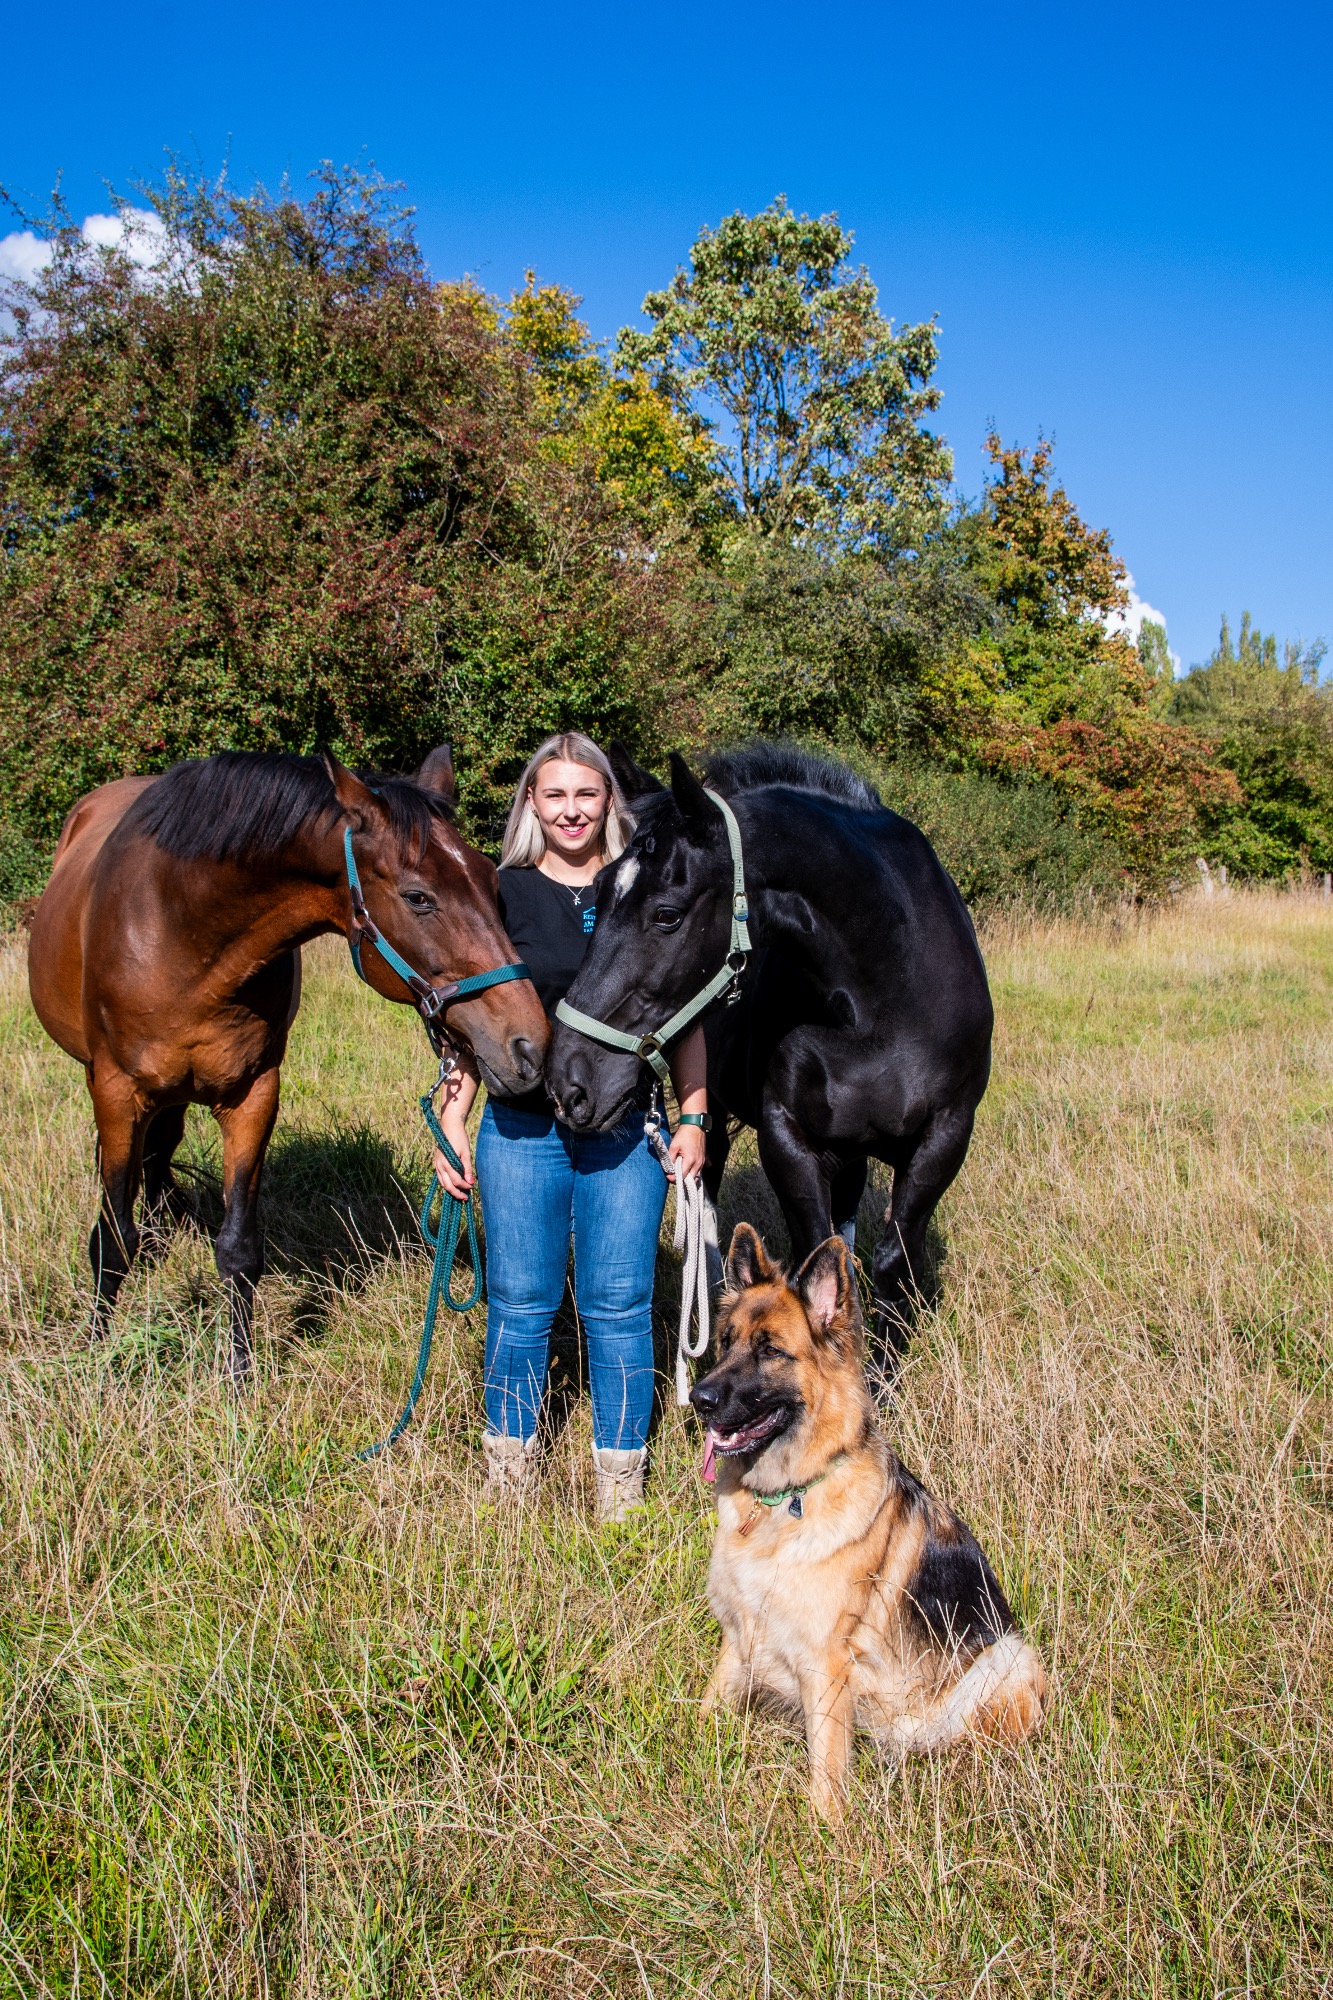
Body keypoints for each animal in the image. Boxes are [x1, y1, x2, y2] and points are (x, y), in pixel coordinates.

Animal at [28, 745, 549, 1381]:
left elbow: (238, 1248)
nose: (530, 1046)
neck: (180, 927)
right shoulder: (117, 1091)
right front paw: (98, 1354)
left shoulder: (253, 1093)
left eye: (491, 884)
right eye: (419, 897)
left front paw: (239, 1375)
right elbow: (110, 1242)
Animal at [547, 743, 993, 1374]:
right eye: (602, 886)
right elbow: (813, 1256)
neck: (888, 998)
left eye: (667, 914)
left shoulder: (945, 1137)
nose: (568, 1082)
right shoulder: (786, 1136)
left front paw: (876, 1375)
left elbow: (888, 1258)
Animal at [690, 1223, 1047, 1820]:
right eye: (725, 1342)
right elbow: (708, 1705)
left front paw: (826, 1831)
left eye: (770, 1351)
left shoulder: (827, 1662)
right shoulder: (740, 1635)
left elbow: (828, 1771)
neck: (786, 1498)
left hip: (1007, 1659)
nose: (699, 1398)